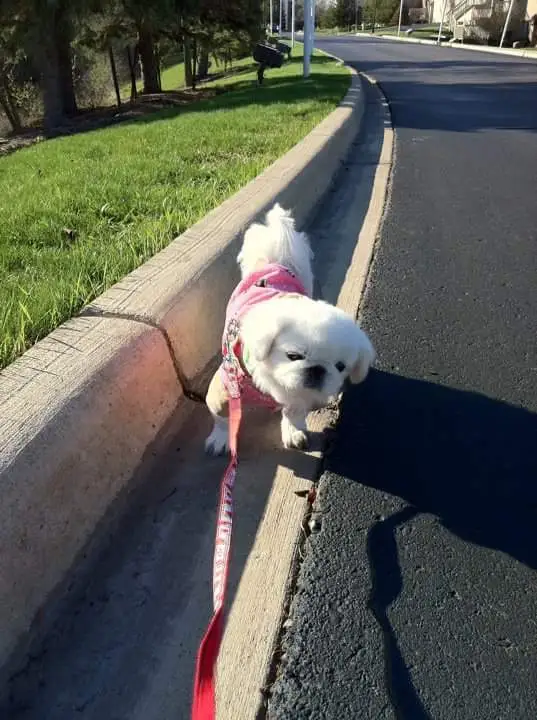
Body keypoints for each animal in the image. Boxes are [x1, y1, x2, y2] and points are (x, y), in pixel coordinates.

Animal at [204, 204, 375, 455]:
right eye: (293, 356)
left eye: (340, 366)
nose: (318, 370)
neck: (276, 386)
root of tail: (275, 263)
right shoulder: (226, 388)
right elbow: (224, 418)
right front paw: (221, 438)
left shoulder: (301, 396)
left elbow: (293, 413)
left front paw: (293, 432)